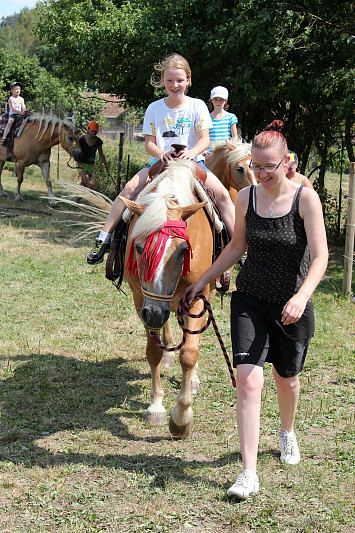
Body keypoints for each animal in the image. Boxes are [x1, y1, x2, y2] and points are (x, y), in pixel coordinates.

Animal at [119, 161, 214, 436]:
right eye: (138, 246)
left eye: (183, 250)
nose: (153, 314)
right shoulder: (140, 299)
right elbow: (153, 352)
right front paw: (157, 407)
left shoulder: (198, 297)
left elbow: (190, 354)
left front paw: (182, 417)